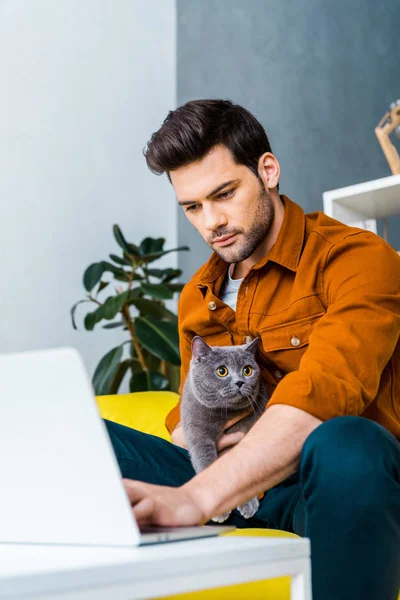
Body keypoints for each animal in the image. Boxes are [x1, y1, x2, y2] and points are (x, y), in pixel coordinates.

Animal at [180, 336, 268, 524]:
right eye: (222, 371)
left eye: (247, 370)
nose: (240, 382)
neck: (225, 413)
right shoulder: (197, 434)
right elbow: (206, 464)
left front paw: (248, 504)